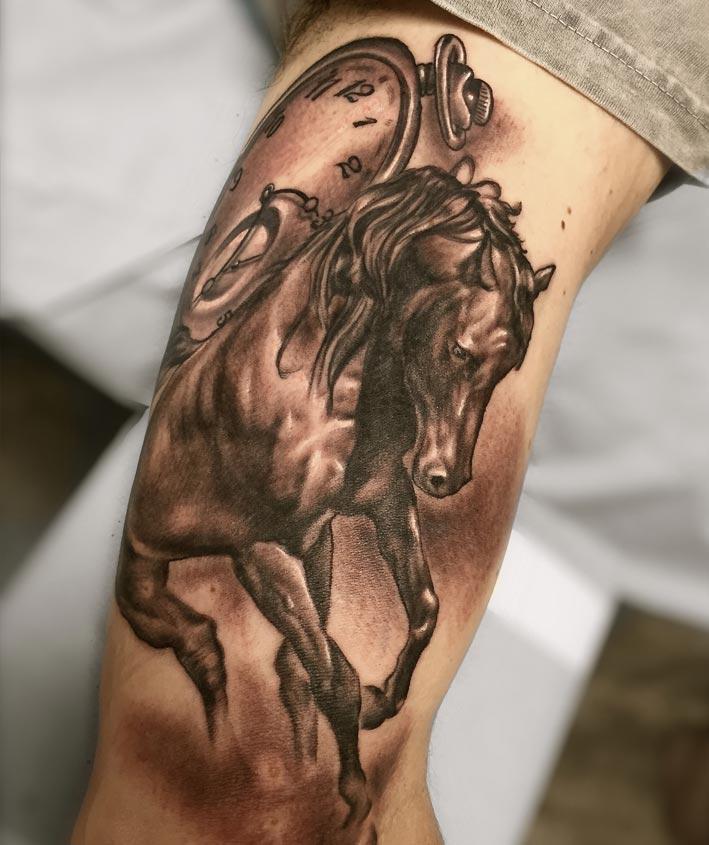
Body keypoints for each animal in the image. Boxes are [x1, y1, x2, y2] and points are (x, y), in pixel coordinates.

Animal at [115, 157, 554, 825]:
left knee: (271, 669)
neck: (308, 381)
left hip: (312, 555)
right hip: (153, 585)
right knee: (206, 649)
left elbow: (422, 610)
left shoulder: (380, 502)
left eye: (511, 366)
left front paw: (382, 705)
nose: (446, 477)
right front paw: (354, 800)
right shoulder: (262, 554)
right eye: (461, 348)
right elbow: (335, 680)